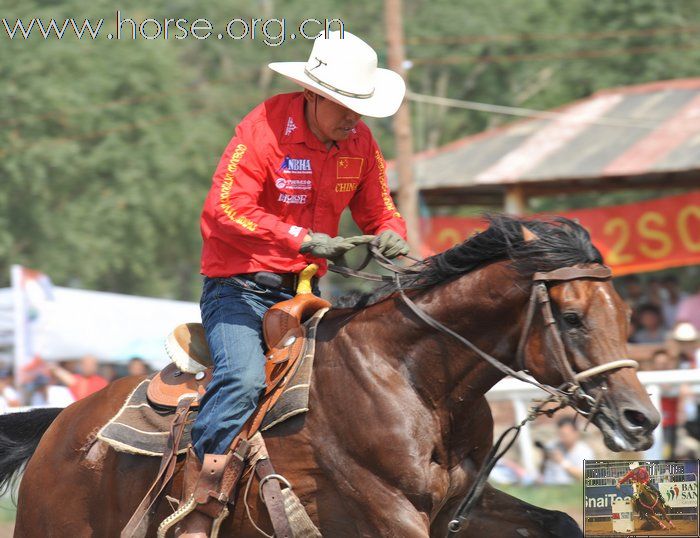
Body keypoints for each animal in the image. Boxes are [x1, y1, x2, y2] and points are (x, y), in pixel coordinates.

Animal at [0, 217, 660, 536]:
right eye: (572, 318)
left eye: (629, 316)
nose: (642, 418)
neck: (413, 379)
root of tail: (61, 427)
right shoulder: (388, 512)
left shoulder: (459, 507)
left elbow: (559, 522)